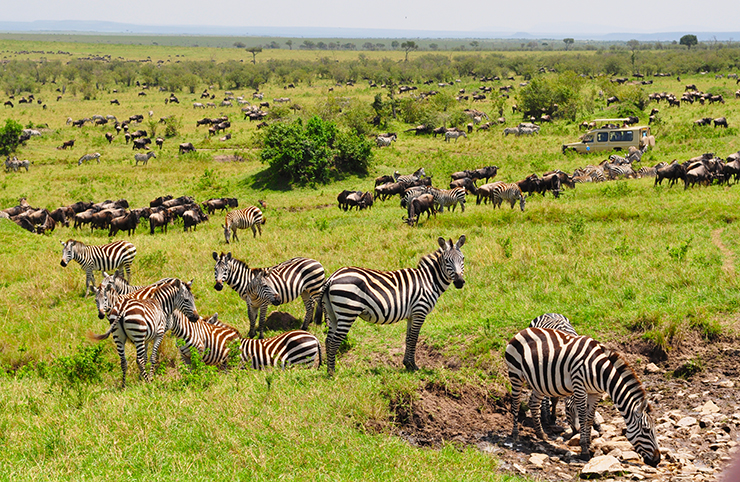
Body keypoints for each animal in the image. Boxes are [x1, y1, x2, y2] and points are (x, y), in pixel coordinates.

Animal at [322, 234, 466, 376]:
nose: (459, 282)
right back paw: (332, 373)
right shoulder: (420, 311)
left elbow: (408, 338)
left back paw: (328, 370)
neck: (429, 280)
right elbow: (414, 338)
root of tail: (332, 277)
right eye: (447, 261)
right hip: (347, 312)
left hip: (333, 314)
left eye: (463, 259)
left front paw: (407, 364)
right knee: (335, 341)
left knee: (328, 340)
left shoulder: (412, 315)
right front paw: (414, 366)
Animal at [506, 326, 660, 466]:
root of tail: (523, 330)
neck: (600, 372)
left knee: (533, 403)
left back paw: (541, 434)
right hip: (516, 374)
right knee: (515, 403)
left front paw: (588, 443)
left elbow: (589, 419)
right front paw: (585, 450)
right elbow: (582, 417)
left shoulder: (596, 393)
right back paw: (515, 434)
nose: (657, 460)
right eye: (646, 430)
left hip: (539, 382)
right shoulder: (579, 387)